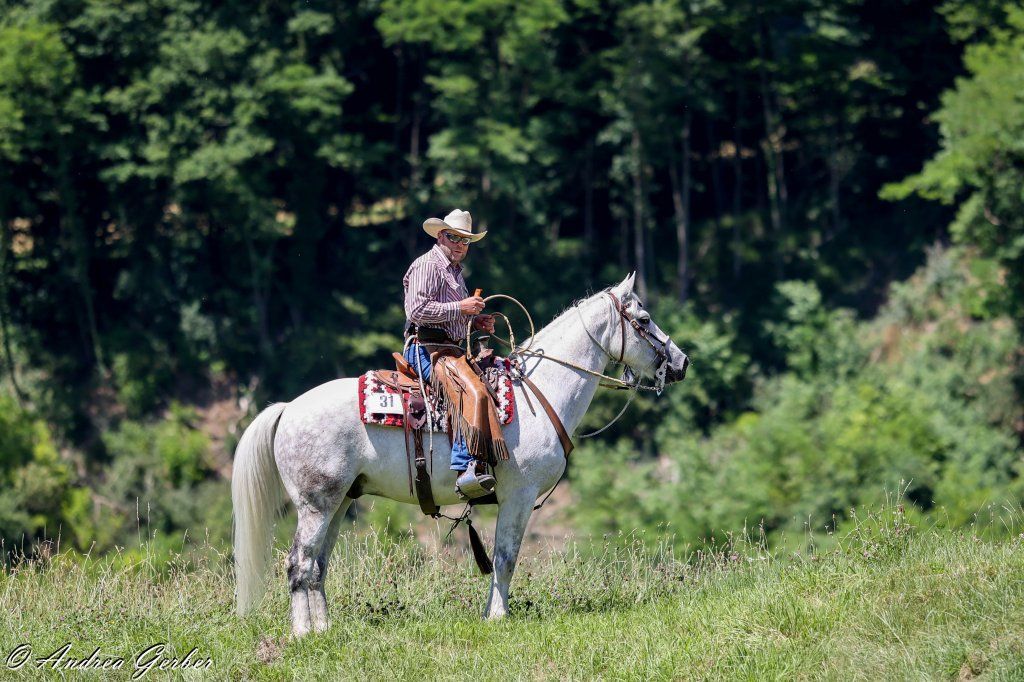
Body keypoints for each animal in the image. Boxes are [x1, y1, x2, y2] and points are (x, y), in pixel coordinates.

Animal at [231, 273, 689, 637]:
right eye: (644, 319)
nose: (681, 362)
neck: (537, 393)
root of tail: (288, 408)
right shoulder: (518, 496)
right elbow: (506, 558)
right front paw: (499, 617)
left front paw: (491, 613)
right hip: (317, 503)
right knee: (299, 564)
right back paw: (303, 634)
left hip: (341, 500)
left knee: (318, 566)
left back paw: (324, 629)